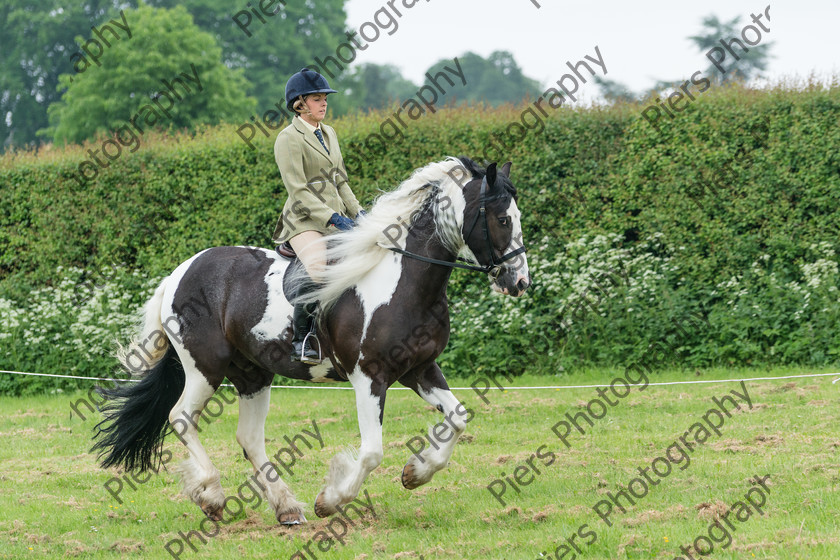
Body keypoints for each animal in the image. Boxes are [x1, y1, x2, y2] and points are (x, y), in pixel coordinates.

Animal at [92, 156, 532, 524]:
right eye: (502, 219)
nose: (519, 282)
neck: (404, 280)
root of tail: (179, 273)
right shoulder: (369, 377)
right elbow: (372, 452)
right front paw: (332, 501)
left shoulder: (419, 369)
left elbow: (458, 417)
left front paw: (416, 472)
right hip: (205, 367)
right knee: (182, 418)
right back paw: (212, 496)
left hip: (252, 374)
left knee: (249, 438)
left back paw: (286, 508)